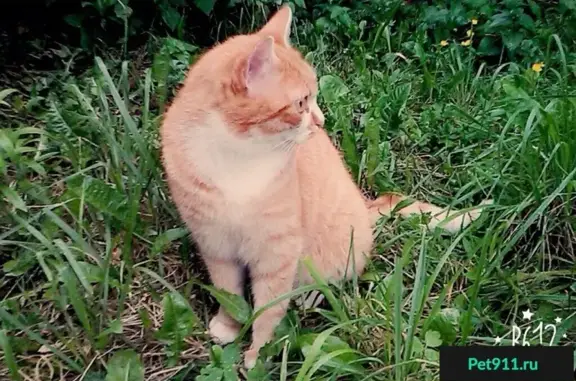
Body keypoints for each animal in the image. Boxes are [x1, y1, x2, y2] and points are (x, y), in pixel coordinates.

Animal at [160, 5, 488, 368]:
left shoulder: (278, 254)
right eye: (301, 103)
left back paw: (312, 293)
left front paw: (257, 354)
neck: (236, 157)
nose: (321, 122)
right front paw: (229, 325)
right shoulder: (215, 243)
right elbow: (228, 291)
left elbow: (268, 309)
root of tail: (365, 205)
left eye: (313, 97)